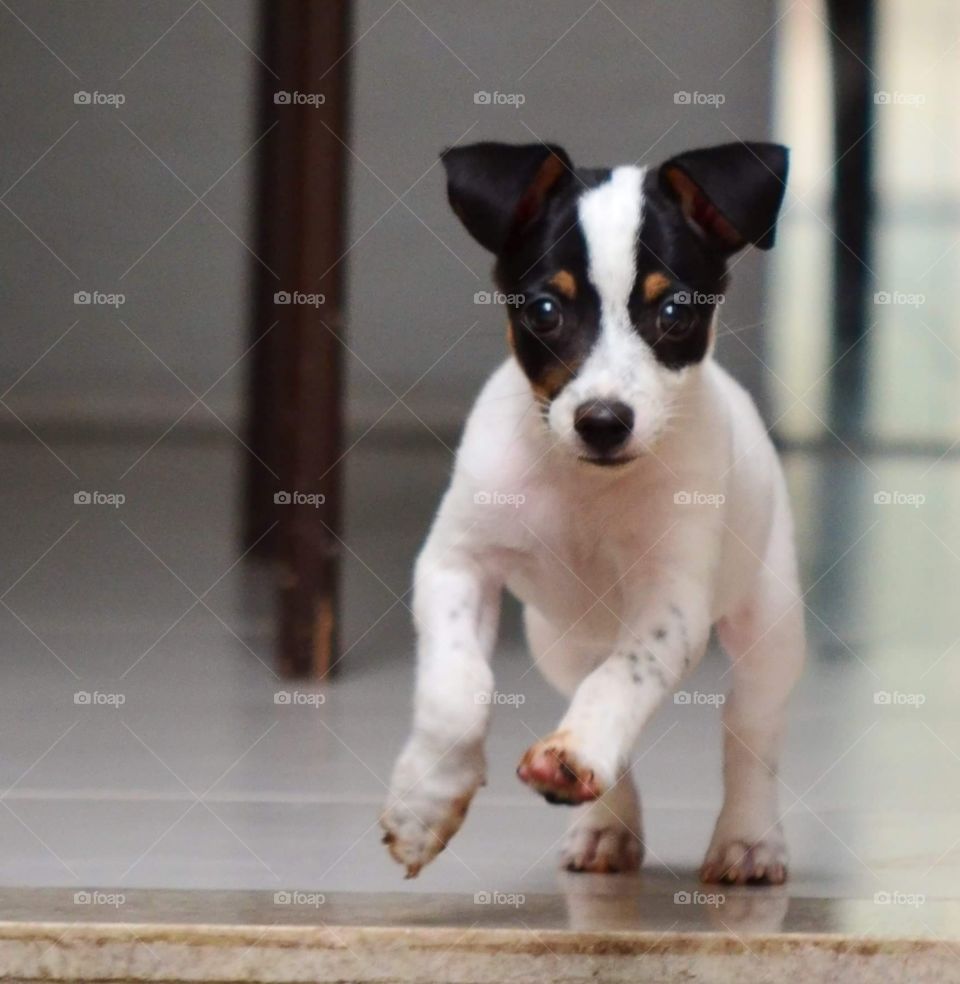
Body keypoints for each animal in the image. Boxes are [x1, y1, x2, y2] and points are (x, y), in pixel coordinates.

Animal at [378, 138, 808, 884]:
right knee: (590, 689)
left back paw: (749, 838)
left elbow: (620, 684)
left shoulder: (671, 604)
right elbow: (455, 691)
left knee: (750, 731)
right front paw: (425, 802)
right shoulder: (456, 565)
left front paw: (574, 752)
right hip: (558, 642)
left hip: (770, 624)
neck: (585, 488)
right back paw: (607, 826)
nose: (603, 422)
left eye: (675, 314)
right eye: (546, 311)